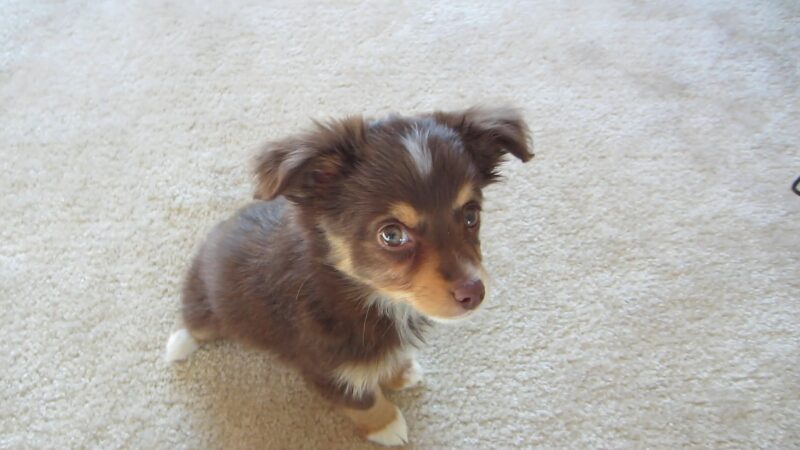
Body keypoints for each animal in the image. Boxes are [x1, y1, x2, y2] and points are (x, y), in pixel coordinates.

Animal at [165, 106, 536, 446]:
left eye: (471, 215)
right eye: (392, 235)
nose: (474, 292)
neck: (362, 291)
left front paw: (399, 373)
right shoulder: (326, 368)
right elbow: (363, 401)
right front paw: (388, 427)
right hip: (206, 303)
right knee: (195, 323)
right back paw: (179, 345)